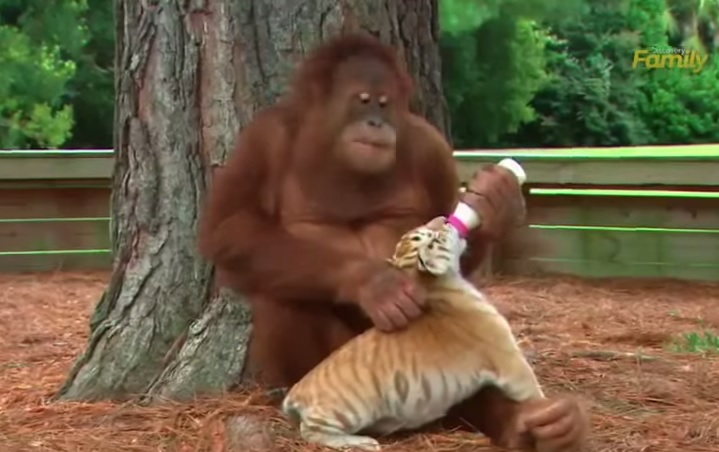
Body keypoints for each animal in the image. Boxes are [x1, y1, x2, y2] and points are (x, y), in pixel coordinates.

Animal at [281, 216, 544, 451]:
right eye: (431, 236)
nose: (445, 219)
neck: (436, 285)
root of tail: (296, 391)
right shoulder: (509, 361)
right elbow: (534, 391)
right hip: (344, 411)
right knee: (312, 431)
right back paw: (361, 443)